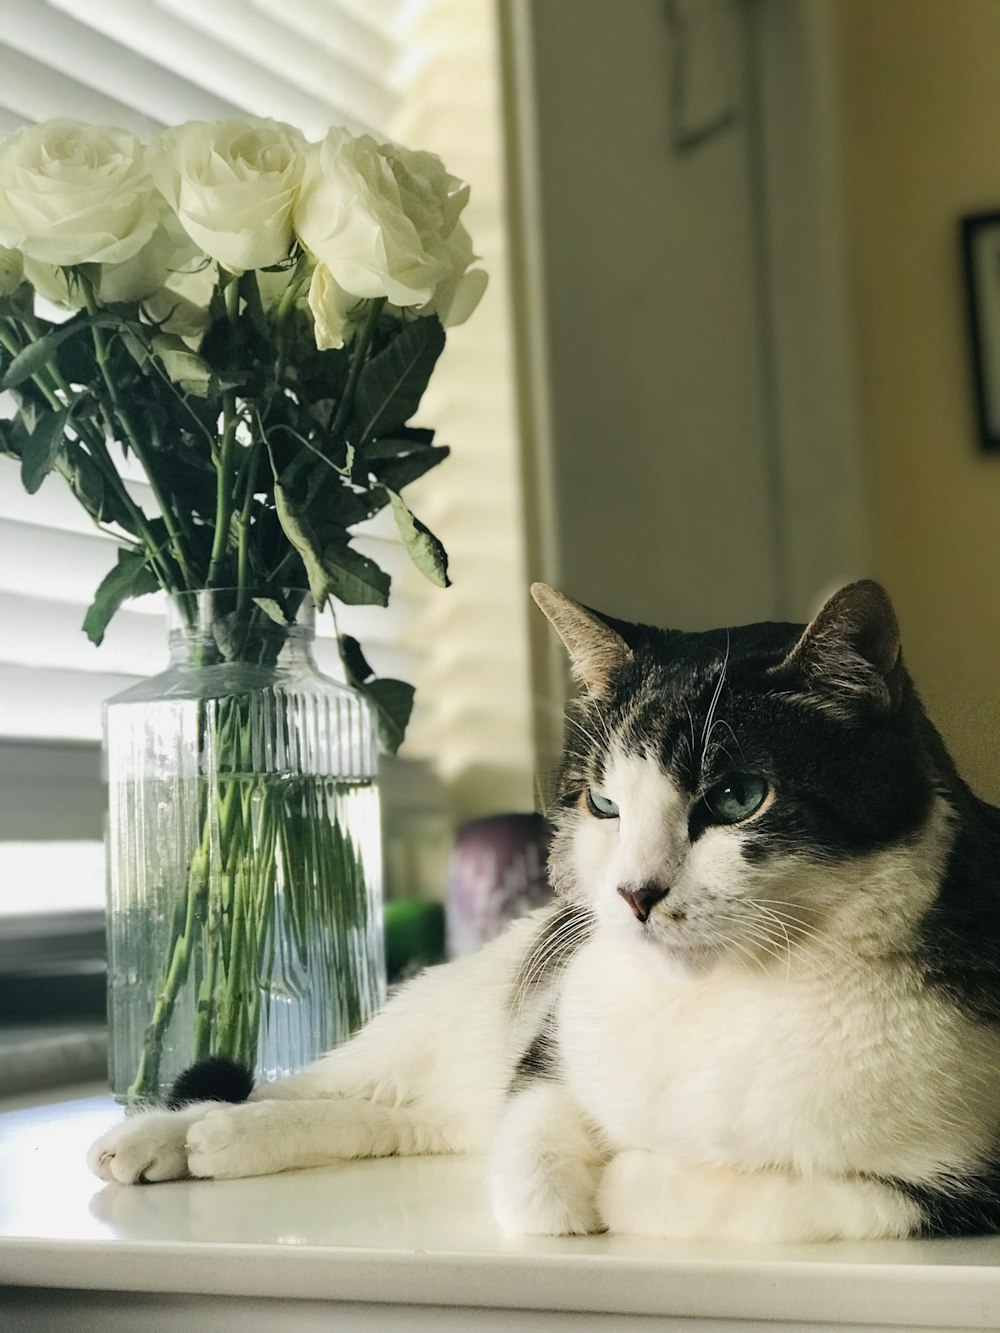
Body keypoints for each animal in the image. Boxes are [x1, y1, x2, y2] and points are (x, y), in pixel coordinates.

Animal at [86, 578, 1000, 1242]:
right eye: (603, 802)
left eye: (739, 796)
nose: (634, 893)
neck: (715, 1000)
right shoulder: (547, 1050)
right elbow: (536, 1152)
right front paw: (576, 1183)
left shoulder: (955, 1188)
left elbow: (782, 1194)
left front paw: (628, 1175)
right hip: (441, 1014)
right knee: (315, 1082)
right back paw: (167, 1135)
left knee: (399, 1117)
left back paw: (207, 1143)